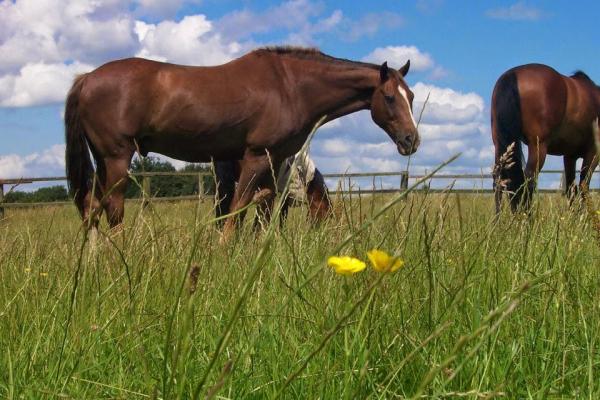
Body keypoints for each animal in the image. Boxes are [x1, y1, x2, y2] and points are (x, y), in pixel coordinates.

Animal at [64, 46, 418, 238]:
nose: (411, 140)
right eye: (389, 97)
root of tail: (86, 79)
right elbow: (236, 211)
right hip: (116, 158)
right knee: (113, 208)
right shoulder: (257, 157)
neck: (291, 87)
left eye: (411, 96)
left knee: (92, 208)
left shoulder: (274, 164)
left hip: (102, 160)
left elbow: (261, 213)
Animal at [492, 64, 600, 211]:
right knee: (528, 181)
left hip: (500, 145)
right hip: (538, 147)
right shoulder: (593, 153)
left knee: (499, 180)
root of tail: (511, 75)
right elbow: (584, 185)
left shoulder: (570, 156)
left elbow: (571, 188)